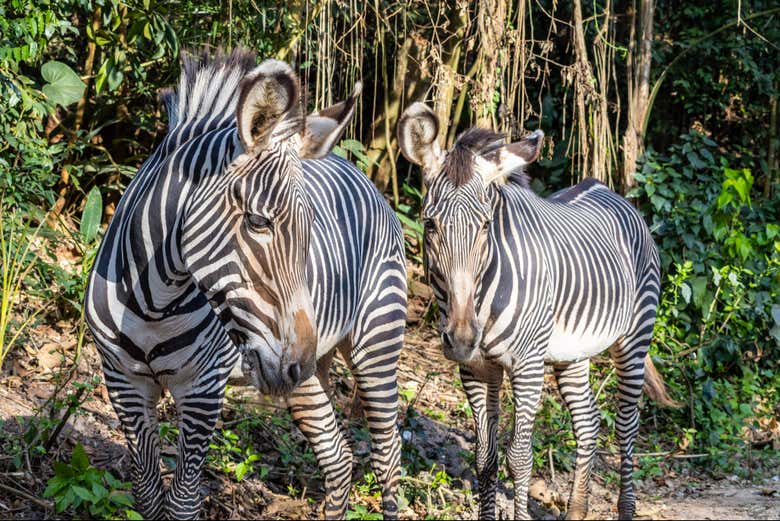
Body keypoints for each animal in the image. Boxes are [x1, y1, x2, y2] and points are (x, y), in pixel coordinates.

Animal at [85, 48, 406, 520]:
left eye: (310, 230)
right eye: (258, 222)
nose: (297, 363)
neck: (153, 302)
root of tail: (364, 174)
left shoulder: (203, 390)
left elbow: (182, 500)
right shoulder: (123, 380)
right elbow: (147, 493)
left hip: (374, 347)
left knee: (388, 455)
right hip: (307, 375)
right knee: (339, 457)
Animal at [397, 102, 677, 520]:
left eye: (485, 226)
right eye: (430, 224)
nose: (461, 338)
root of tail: (610, 191)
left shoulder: (527, 364)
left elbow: (519, 456)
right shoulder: (476, 368)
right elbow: (485, 457)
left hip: (634, 337)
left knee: (627, 424)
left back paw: (626, 508)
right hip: (572, 353)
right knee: (588, 422)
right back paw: (576, 510)